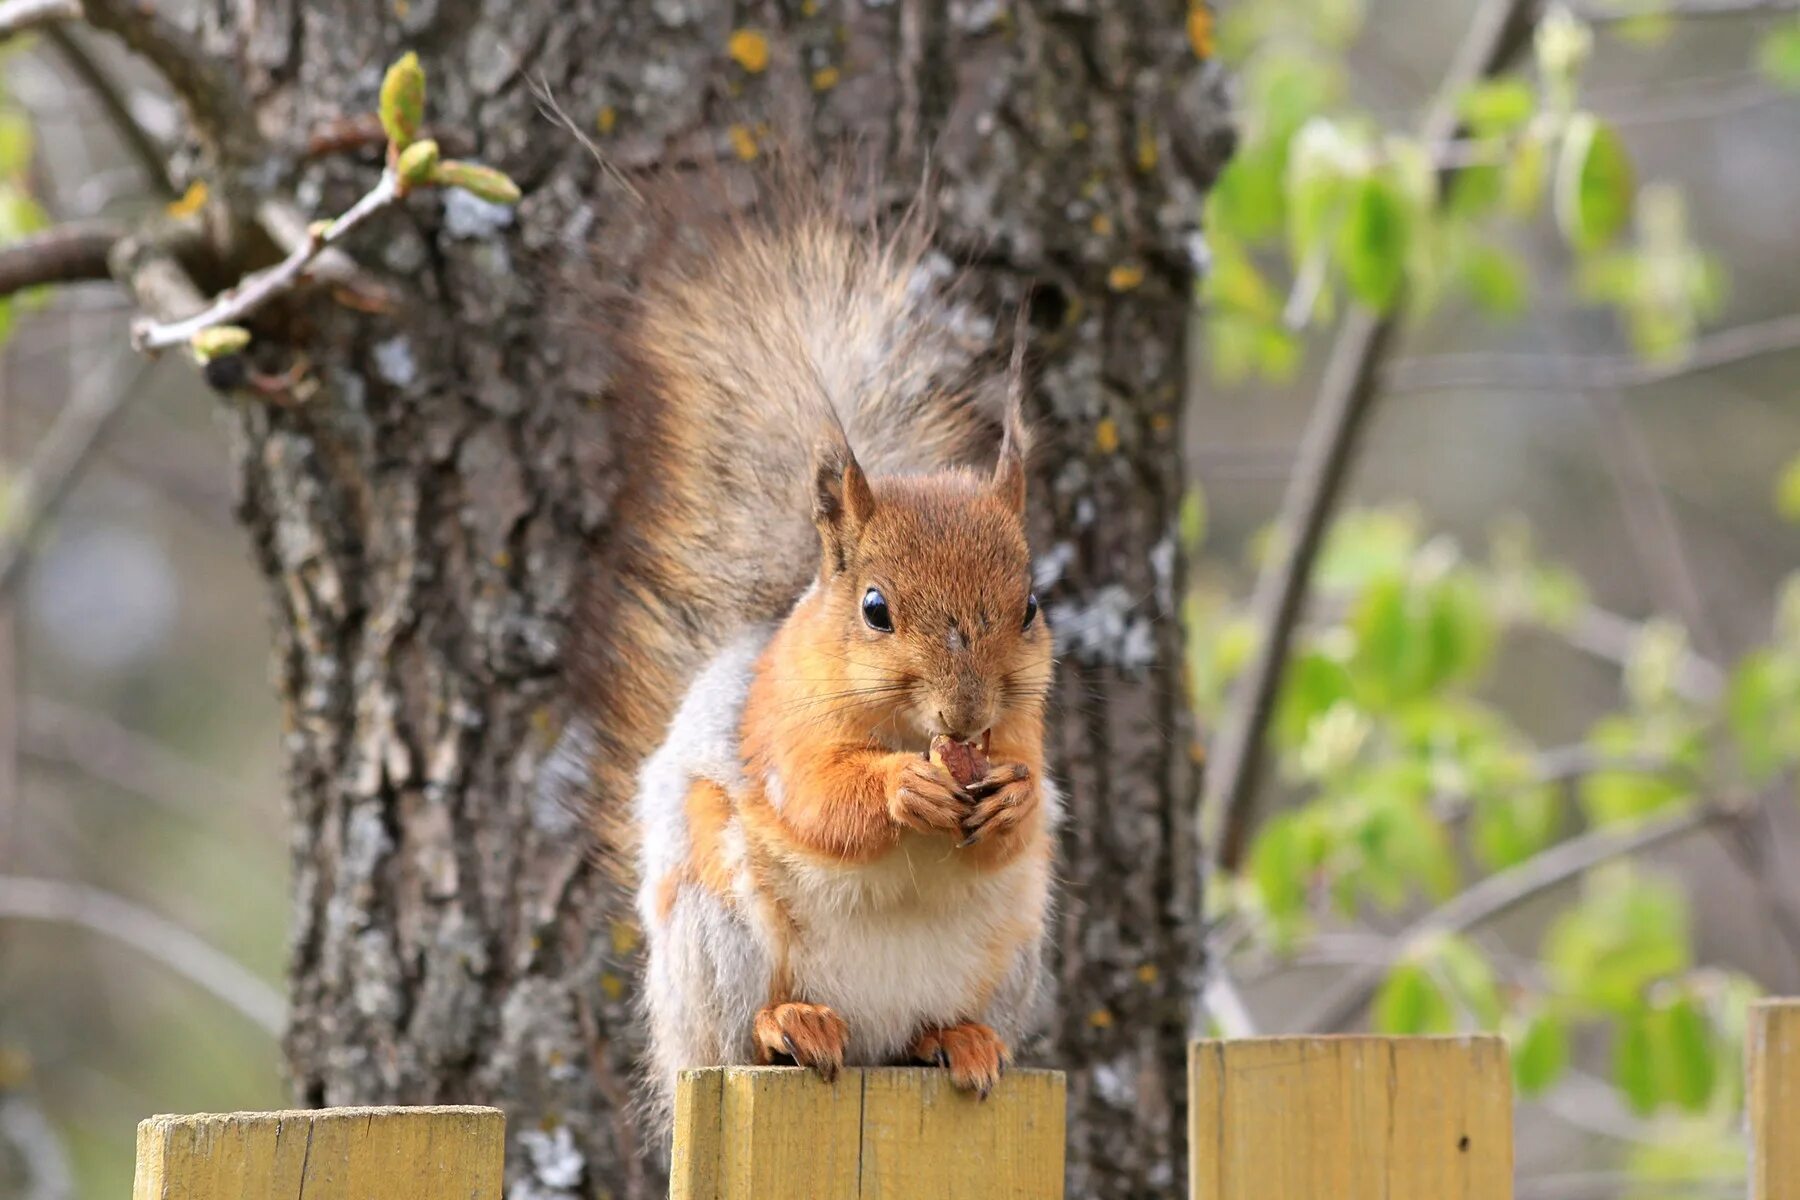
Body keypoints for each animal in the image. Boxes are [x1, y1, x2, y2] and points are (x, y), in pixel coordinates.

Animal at [565, 173, 1051, 1129]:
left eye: (1031, 606)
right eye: (875, 608)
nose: (967, 713)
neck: (906, 730)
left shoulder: (1026, 733)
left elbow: (1024, 813)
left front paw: (1012, 799)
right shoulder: (777, 731)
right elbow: (821, 800)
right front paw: (901, 790)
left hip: (1010, 956)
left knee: (928, 1032)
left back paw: (958, 1041)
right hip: (718, 931)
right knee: (742, 1034)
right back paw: (791, 1026)